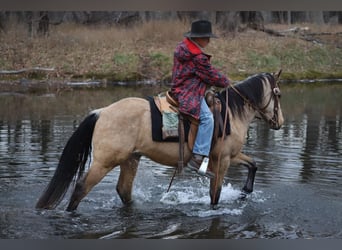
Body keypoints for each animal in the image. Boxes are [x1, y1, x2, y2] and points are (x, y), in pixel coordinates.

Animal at [36, 70, 284, 211]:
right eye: (278, 94)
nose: (280, 122)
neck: (231, 113)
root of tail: (102, 112)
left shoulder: (230, 156)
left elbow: (253, 164)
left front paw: (245, 192)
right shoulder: (221, 160)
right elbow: (215, 195)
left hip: (131, 159)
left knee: (123, 191)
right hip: (105, 162)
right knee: (81, 188)